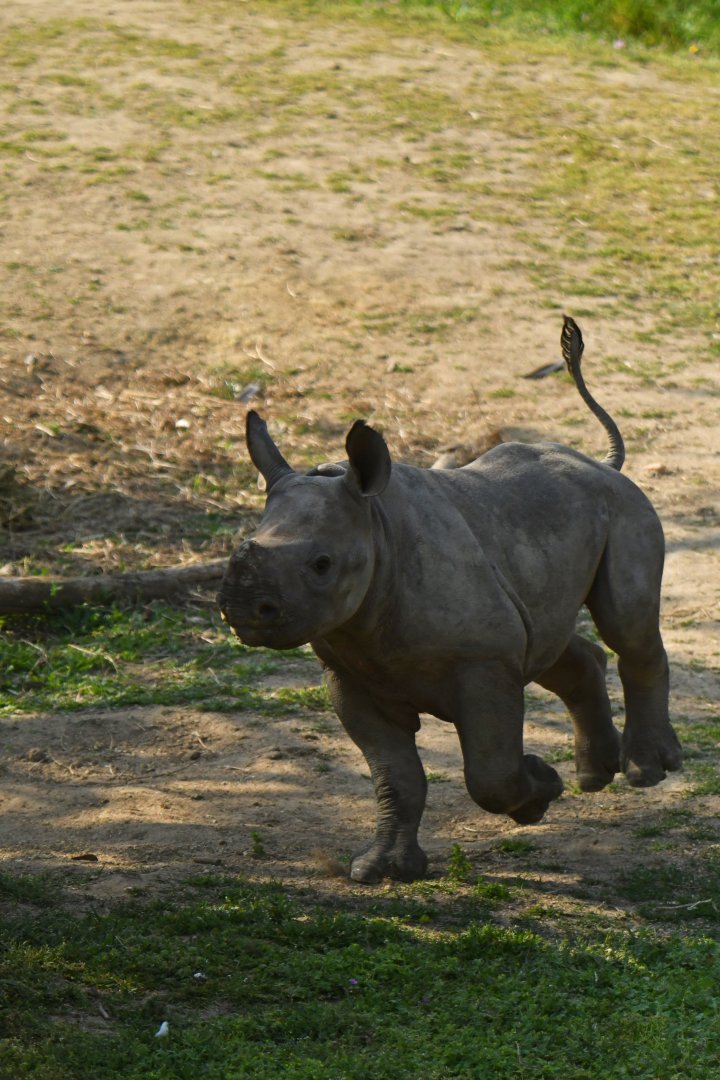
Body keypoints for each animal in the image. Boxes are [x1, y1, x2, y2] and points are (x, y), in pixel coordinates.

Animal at [218, 318, 682, 883]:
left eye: (322, 565)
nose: (242, 608)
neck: (376, 525)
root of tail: (604, 465)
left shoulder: (482, 661)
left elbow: (489, 772)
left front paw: (538, 791)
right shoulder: (349, 673)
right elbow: (396, 777)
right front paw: (382, 870)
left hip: (625, 509)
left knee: (626, 627)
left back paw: (647, 772)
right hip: (538, 540)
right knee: (549, 642)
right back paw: (595, 777)